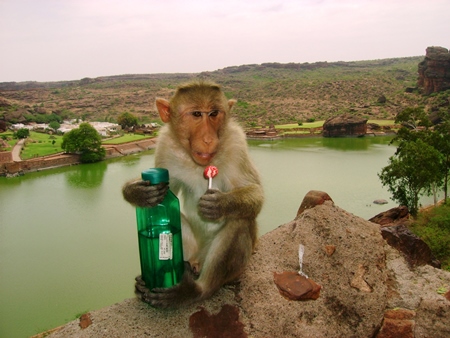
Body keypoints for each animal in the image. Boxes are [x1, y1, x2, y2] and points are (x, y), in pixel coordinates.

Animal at [123, 80, 264, 308]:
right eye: (196, 114)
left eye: (214, 113)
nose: (208, 138)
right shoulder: (165, 146)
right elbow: (166, 191)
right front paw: (138, 192)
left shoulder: (237, 144)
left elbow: (255, 191)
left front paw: (220, 204)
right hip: (194, 249)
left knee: (240, 220)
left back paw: (195, 291)